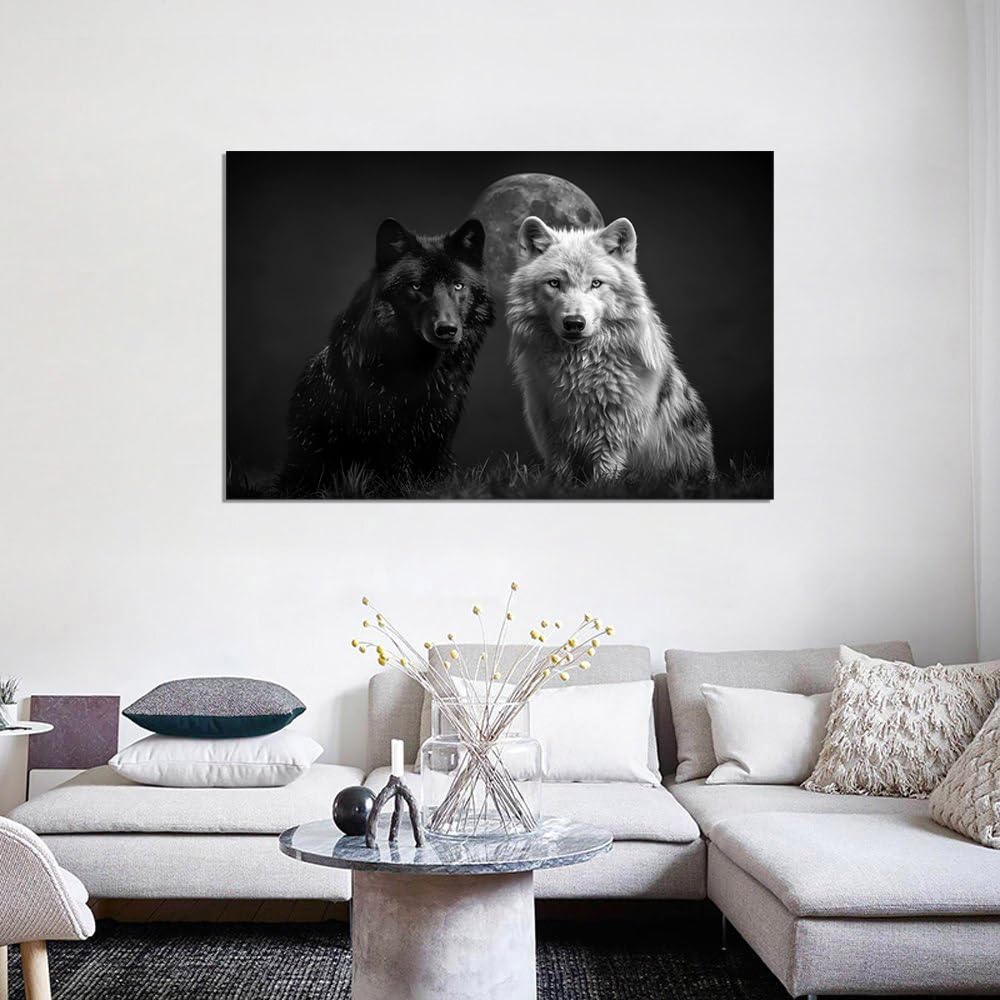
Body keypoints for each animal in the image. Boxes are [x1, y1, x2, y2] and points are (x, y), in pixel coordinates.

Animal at [280, 217, 494, 495]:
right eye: (417, 286)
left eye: (458, 285)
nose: (447, 329)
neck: (422, 369)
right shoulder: (386, 436)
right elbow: (397, 482)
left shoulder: (440, 434)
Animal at [506, 215, 715, 484]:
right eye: (554, 283)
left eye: (596, 283)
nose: (574, 323)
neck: (578, 372)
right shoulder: (551, 432)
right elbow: (560, 474)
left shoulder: (613, 435)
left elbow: (605, 475)